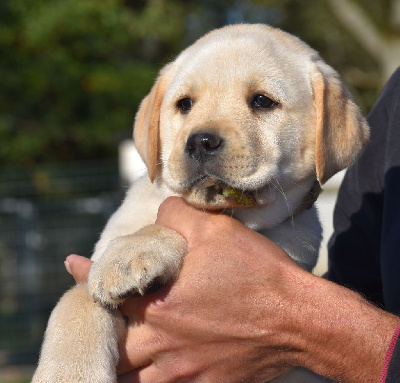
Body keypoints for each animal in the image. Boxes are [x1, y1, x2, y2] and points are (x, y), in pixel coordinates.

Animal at [32, 24, 370, 383]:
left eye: (262, 101)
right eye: (185, 104)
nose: (200, 141)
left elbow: (164, 229)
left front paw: (133, 251)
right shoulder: (90, 268)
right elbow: (76, 299)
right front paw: (68, 373)